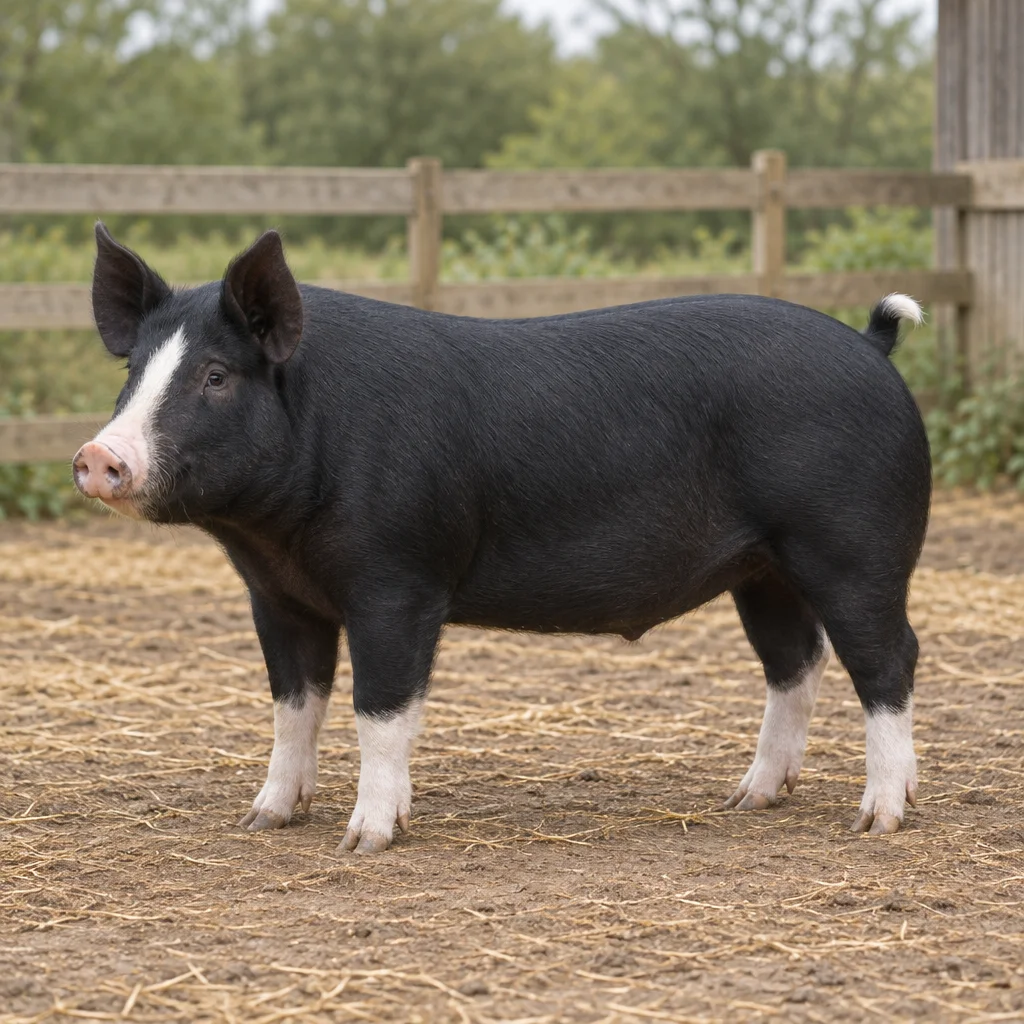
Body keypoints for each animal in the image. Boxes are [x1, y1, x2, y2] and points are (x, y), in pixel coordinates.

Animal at [74, 223, 931, 853]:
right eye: (133, 373)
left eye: (216, 376)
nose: (97, 456)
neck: (272, 534)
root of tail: (871, 346)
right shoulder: (279, 597)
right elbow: (294, 705)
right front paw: (263, 818)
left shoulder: (398, 581)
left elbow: (379, 707)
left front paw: (366, 840)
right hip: (762, 570)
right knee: (795, 663)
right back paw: (748, 800)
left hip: (853, 545)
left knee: (887, 657)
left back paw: (877, 820)